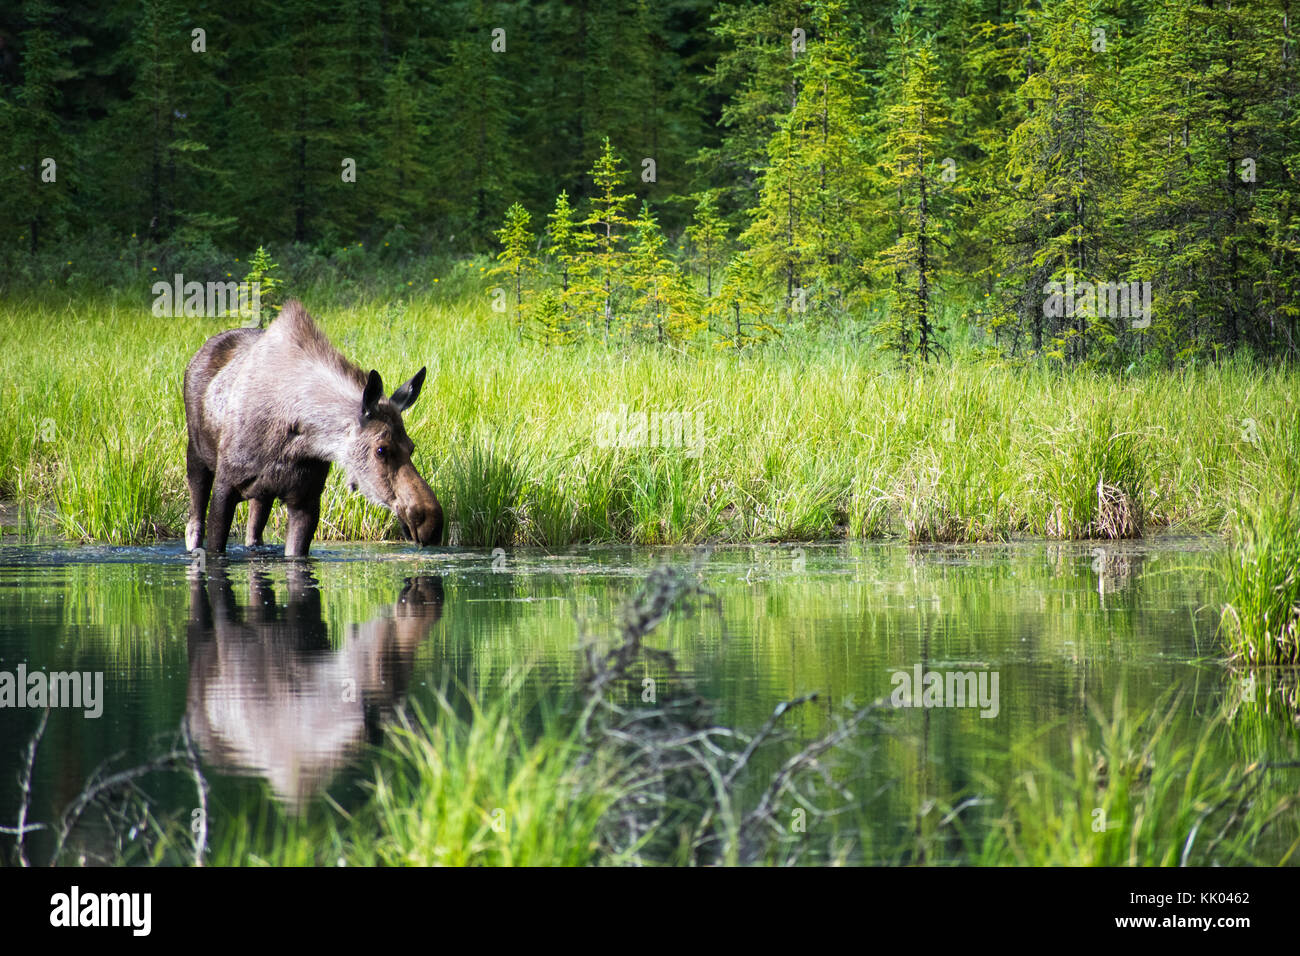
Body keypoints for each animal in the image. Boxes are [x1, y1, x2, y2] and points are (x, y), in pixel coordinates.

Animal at [183, 297, 444, 554]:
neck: (299, 437)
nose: (432, 522)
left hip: (262, 496)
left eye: (411, 447)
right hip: (196, 455)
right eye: (381, 449)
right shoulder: (225, 487)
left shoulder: (306, 501)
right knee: (194, 524)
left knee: (254, 531)